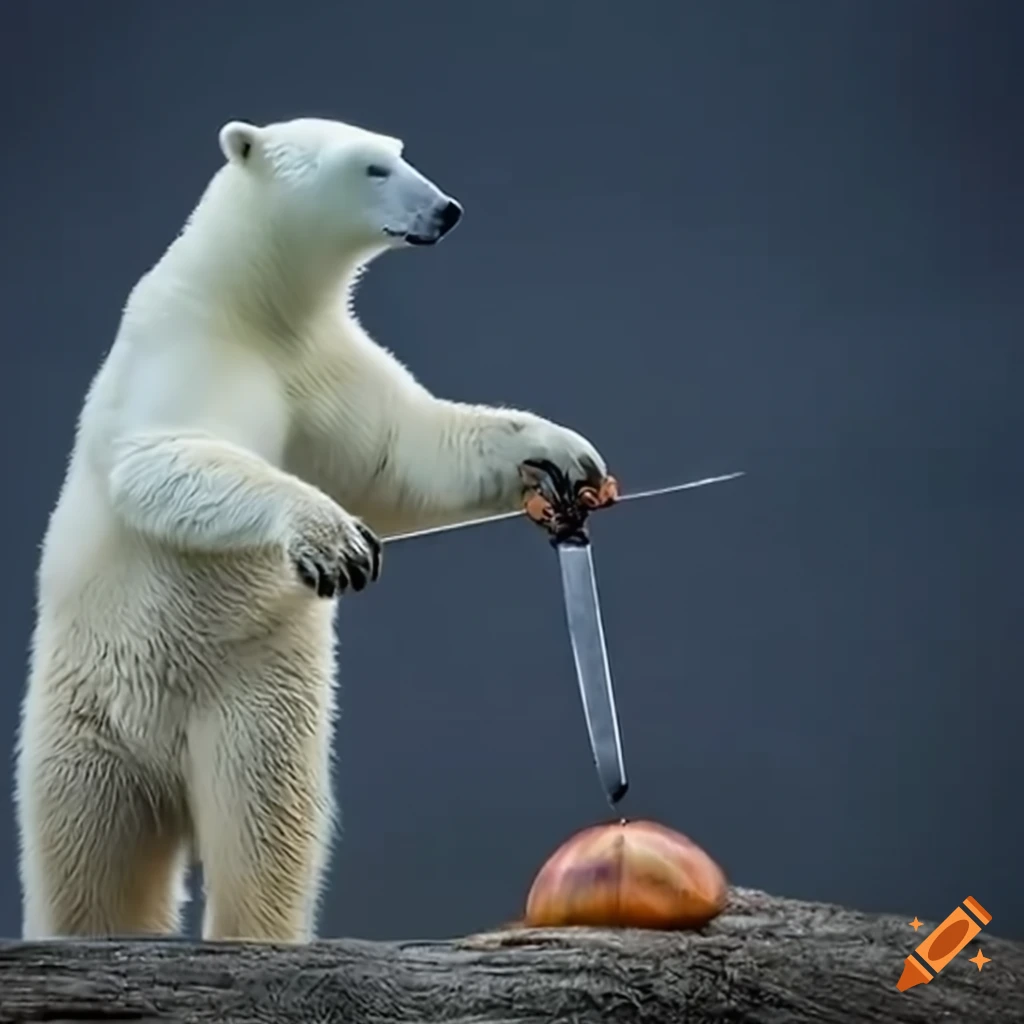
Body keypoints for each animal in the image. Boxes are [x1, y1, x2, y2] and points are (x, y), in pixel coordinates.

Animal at [14, 115, 610, 944]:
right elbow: (165, 455)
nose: (448, 210)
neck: (253, 296)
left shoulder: (320, 363)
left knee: (261, 828)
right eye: (371, 167)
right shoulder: (191, 344)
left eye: (401, 152)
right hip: (85, 715)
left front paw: (561, 451)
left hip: (254, 700)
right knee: (89, 857)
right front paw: (333, 539)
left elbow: (405, 455)